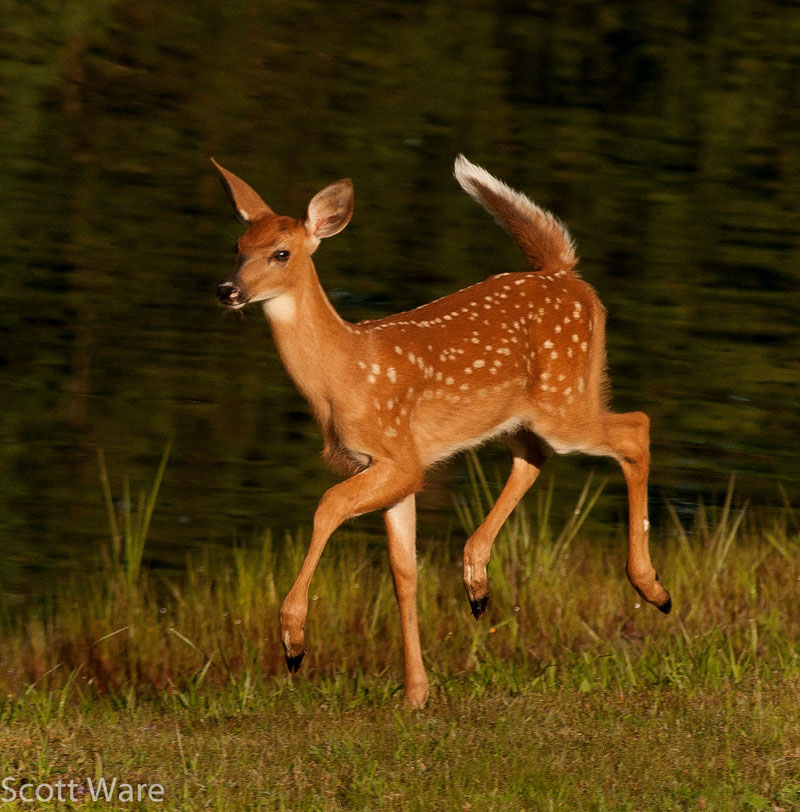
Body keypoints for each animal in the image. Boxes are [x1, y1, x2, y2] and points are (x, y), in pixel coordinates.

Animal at [213, 155, 672, 708]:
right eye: (237, 246)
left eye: (280, 253)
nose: (227, 290)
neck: (344, 374)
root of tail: (563, 272)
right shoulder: (395, 471)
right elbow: (403, 572)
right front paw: (416, 691)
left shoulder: (399, 455)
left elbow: (327, 506)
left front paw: (293, 642)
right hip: (528, 412)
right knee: (536, 454)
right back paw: (477, 581)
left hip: (566, 400)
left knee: (635, 428)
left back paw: (653, 589)